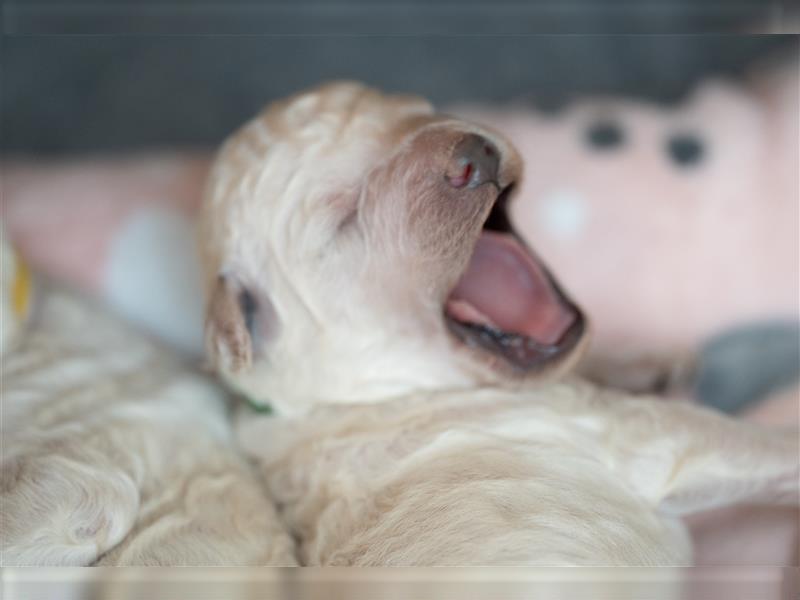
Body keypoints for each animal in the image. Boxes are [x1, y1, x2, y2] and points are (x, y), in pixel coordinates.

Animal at [202, 82, 800, 564]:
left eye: (416, 109)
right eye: (341, 217)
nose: (475, 155)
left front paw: (647, 362)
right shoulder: (638, 431)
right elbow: (758, 444)